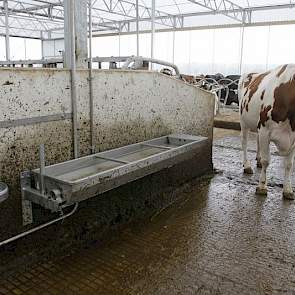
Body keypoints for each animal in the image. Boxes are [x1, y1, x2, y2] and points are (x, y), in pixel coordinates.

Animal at [239, 63, 295, 200]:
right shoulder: (265, 130)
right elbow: (266, 160)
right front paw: (262, 186)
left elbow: (289, 165)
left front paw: (287, 189)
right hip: (243, 121)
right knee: (244, 143)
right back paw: (247, 165)